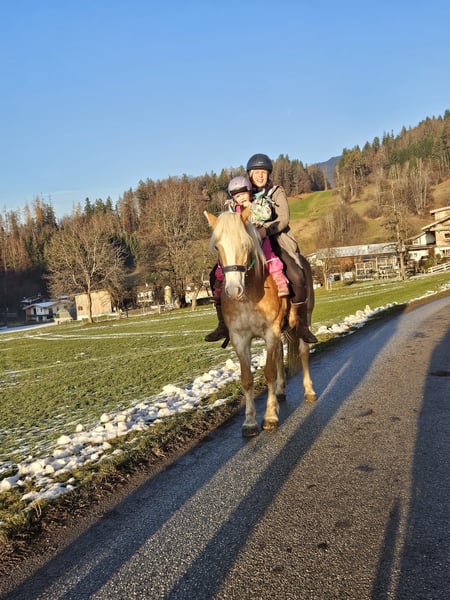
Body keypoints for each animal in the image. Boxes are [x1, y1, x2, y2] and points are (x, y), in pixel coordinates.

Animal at [204, 209, 317, 437]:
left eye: (245, 244)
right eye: (218, 246)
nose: (233, 290)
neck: (249, 294)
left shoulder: (270, 331)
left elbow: (269, 373)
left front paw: (270, 416)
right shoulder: (240, 338)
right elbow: (247, 378)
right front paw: (249, 422)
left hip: (304, 319)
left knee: (303, 351)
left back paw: (309, 391)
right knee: (280, 353)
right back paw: (281, 392)